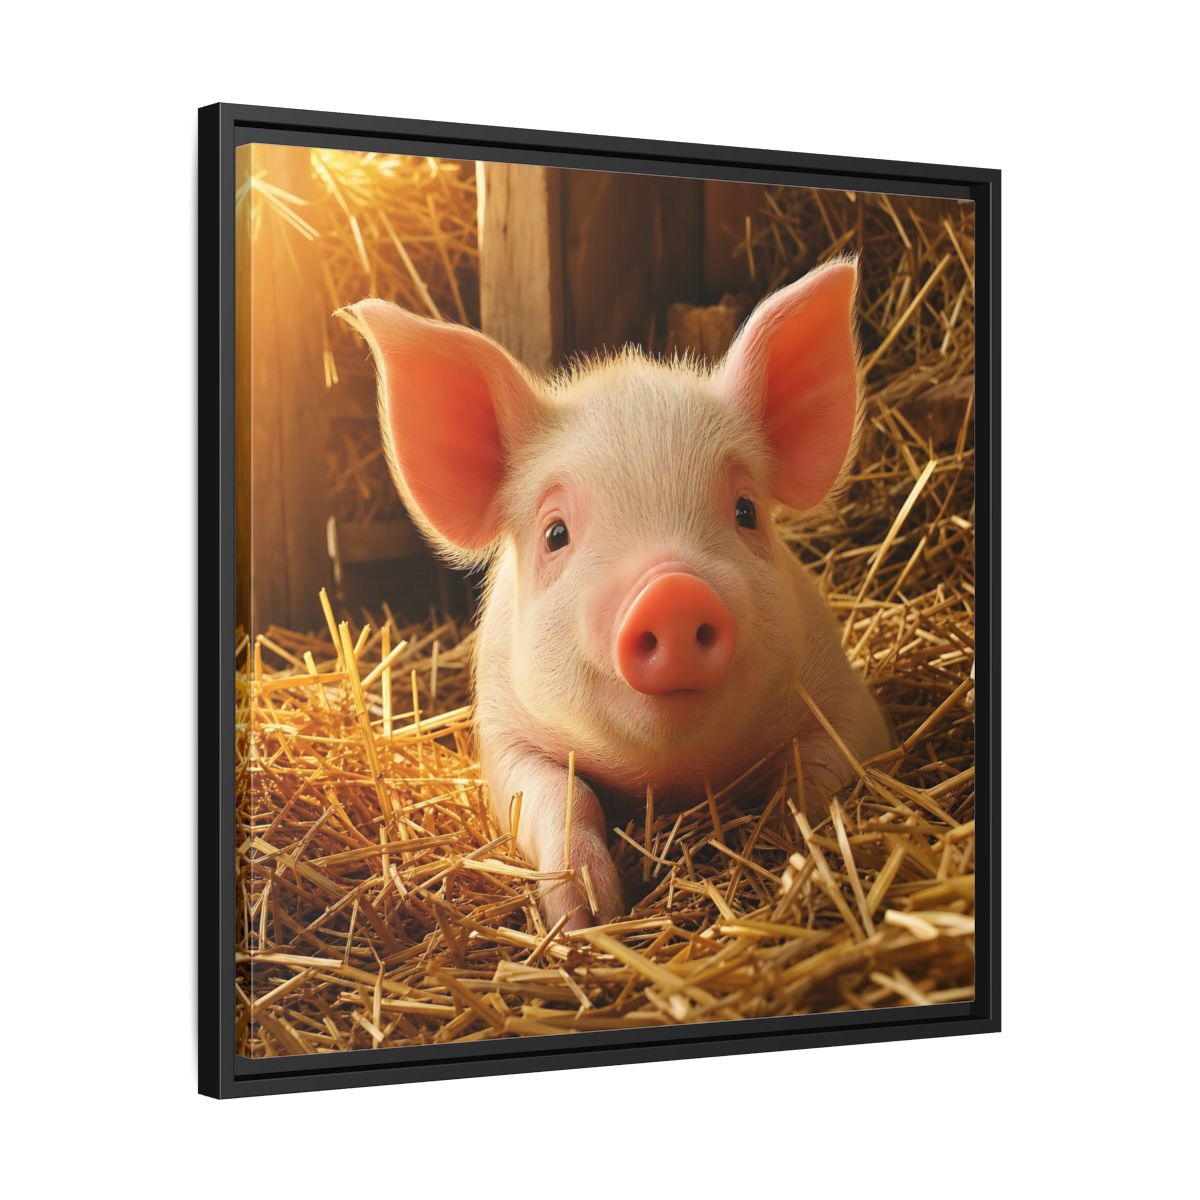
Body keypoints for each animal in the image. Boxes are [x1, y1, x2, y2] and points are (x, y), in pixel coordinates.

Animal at [340, 257, 891, 932]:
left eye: (746, 510)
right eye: (555, 533)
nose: (672, 592)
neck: (669, 778)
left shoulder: (847, 702)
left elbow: (813, 774)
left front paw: (793, 853)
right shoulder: (501, 733)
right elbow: (562, 795)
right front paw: (587, 918)